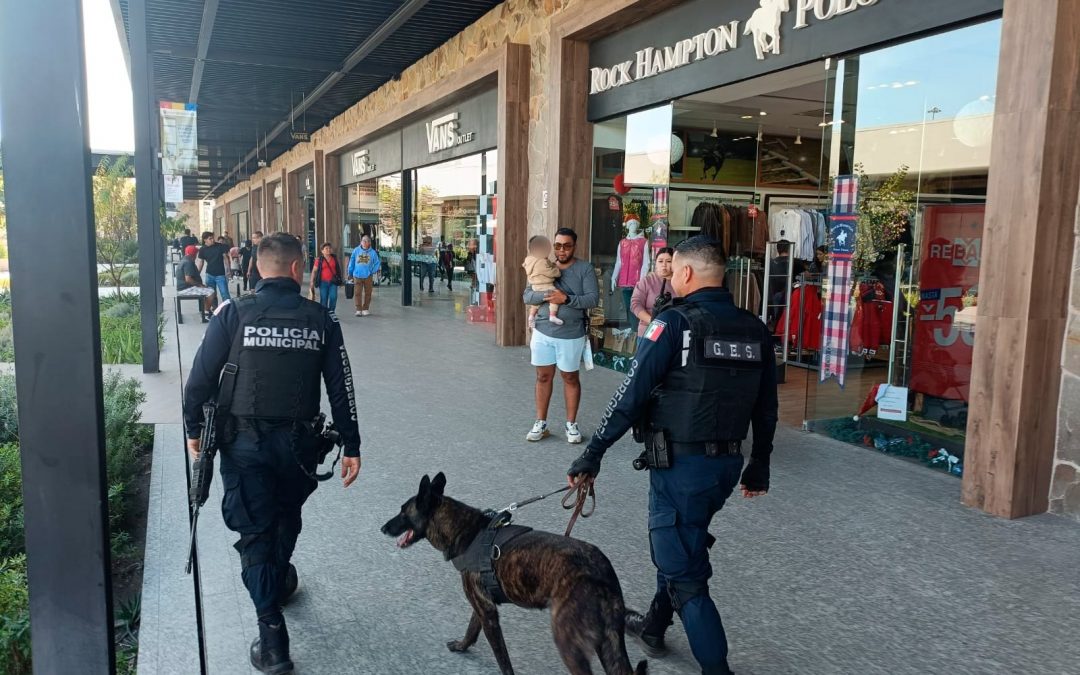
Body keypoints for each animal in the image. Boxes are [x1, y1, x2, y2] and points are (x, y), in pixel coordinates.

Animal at [382, 473, 643, 673]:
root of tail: (600, 571)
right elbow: (471, 629)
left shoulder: (488, 613)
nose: (382, 528)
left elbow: (503, 658)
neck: (466, 531)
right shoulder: (482, 605)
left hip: (568, 641)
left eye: (403, 512)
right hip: (610, 644)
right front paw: (461, 646)